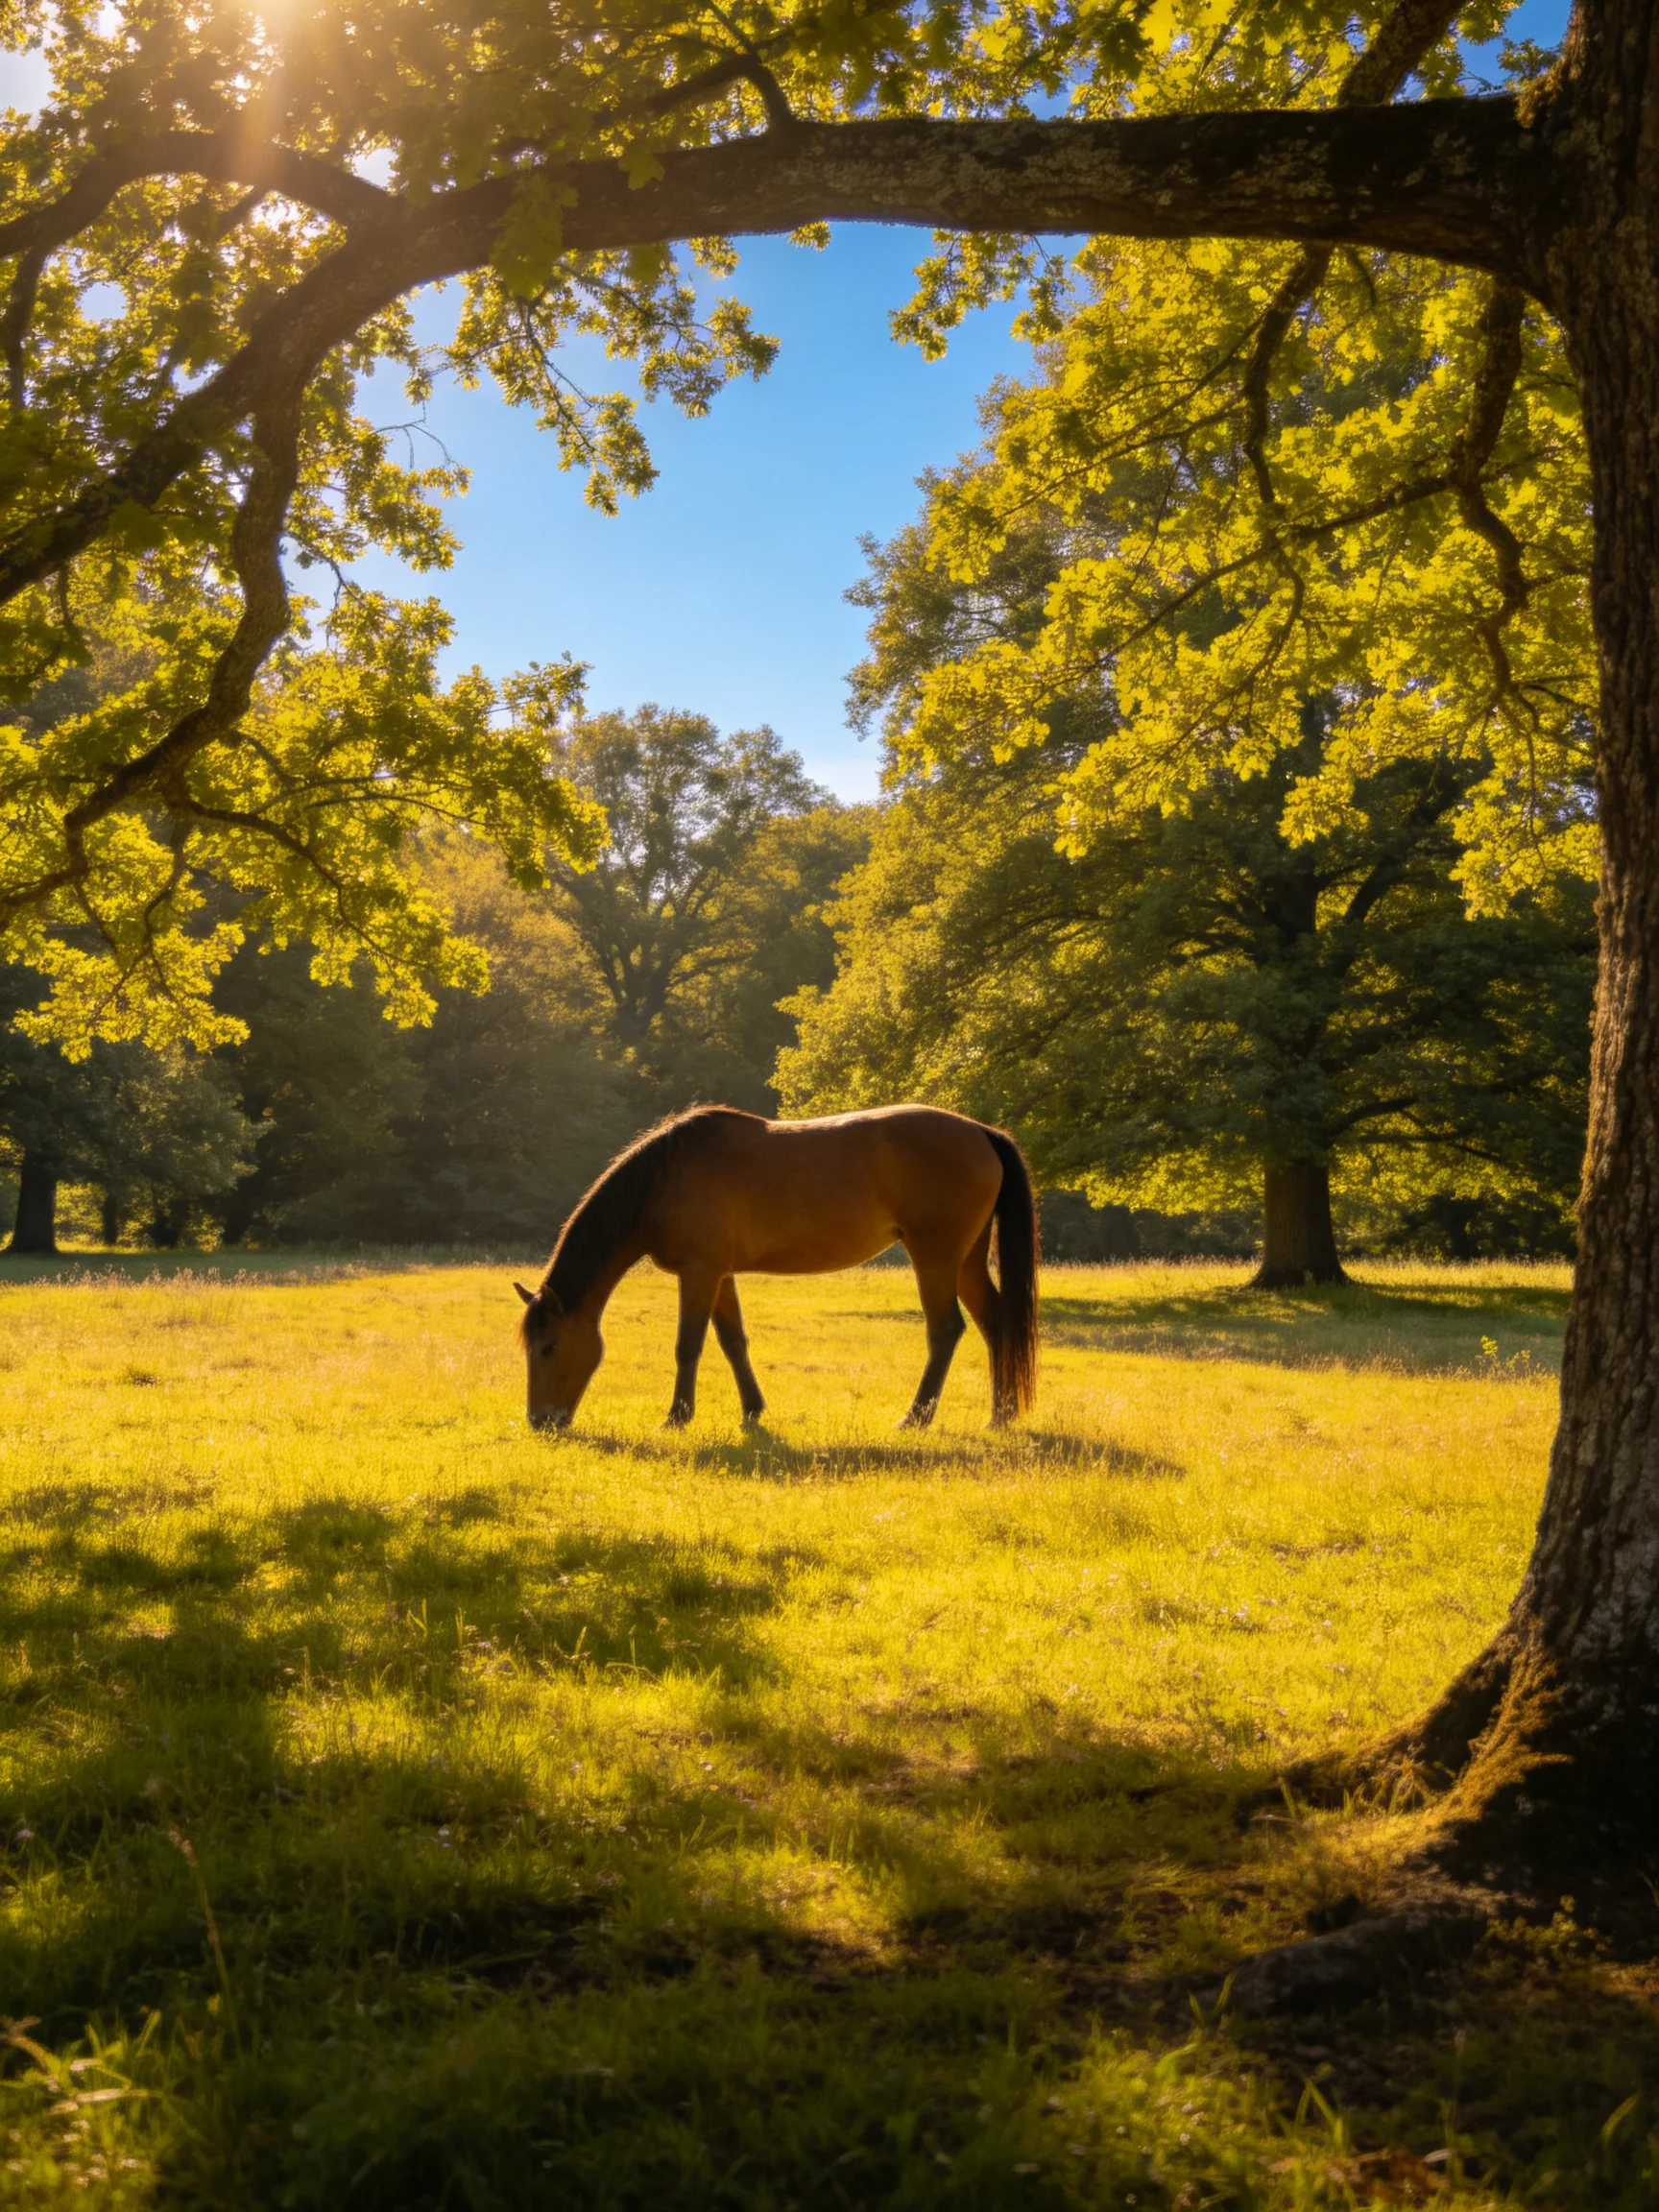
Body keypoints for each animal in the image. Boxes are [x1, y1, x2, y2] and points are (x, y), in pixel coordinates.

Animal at [514, 1104, 1039, 1432]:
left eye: (548, 1346)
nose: (541, 1422)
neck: (664, 1179)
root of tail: (981, 1133)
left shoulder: (699, 1272)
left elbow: (688, 1346)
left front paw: (677, 1417)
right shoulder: (720, 1274)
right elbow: (733, 1342)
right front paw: (752, 1410)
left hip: (935, 1258)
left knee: (946, 1330)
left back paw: (917, 1417)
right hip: (966, 1261)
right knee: (996, 1324)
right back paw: (1000, 1416)